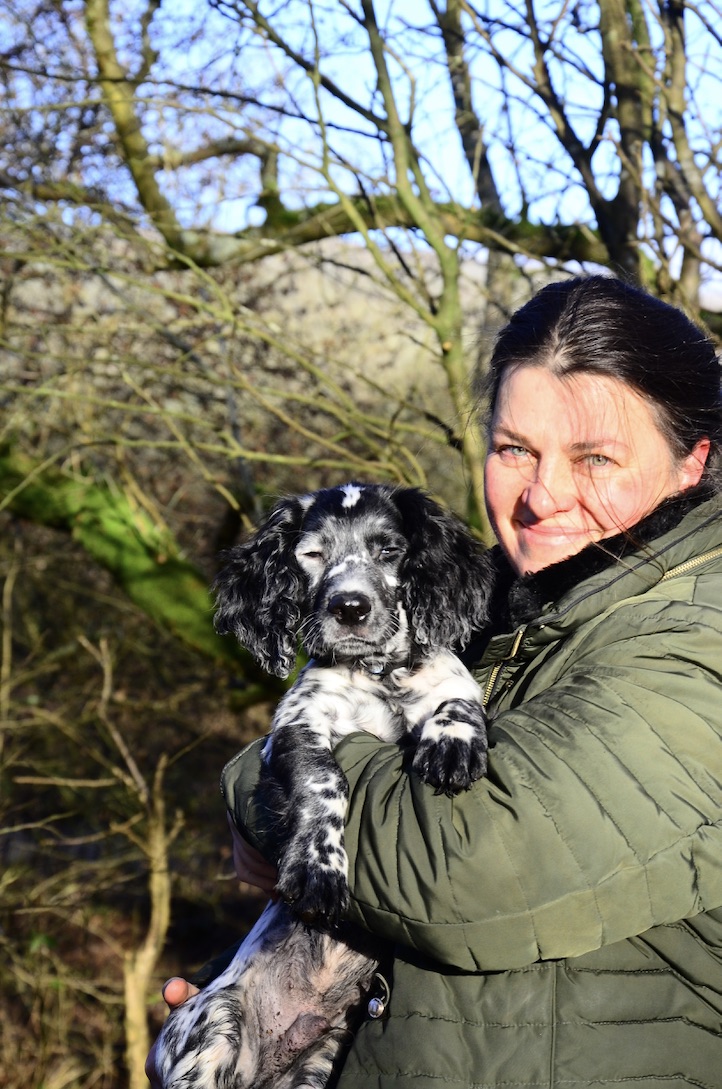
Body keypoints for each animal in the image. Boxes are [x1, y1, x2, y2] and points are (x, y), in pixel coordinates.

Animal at [155, 485, 494, 1089]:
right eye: (312, 555)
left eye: (389, 550)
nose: (350, 608)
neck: (379, 675)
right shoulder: (296, 723)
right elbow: (324, 779)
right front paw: (318, 871)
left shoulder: (439, 678)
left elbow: (455, 690)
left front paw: (453, 740)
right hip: (210, 1025)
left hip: (319, 1062)